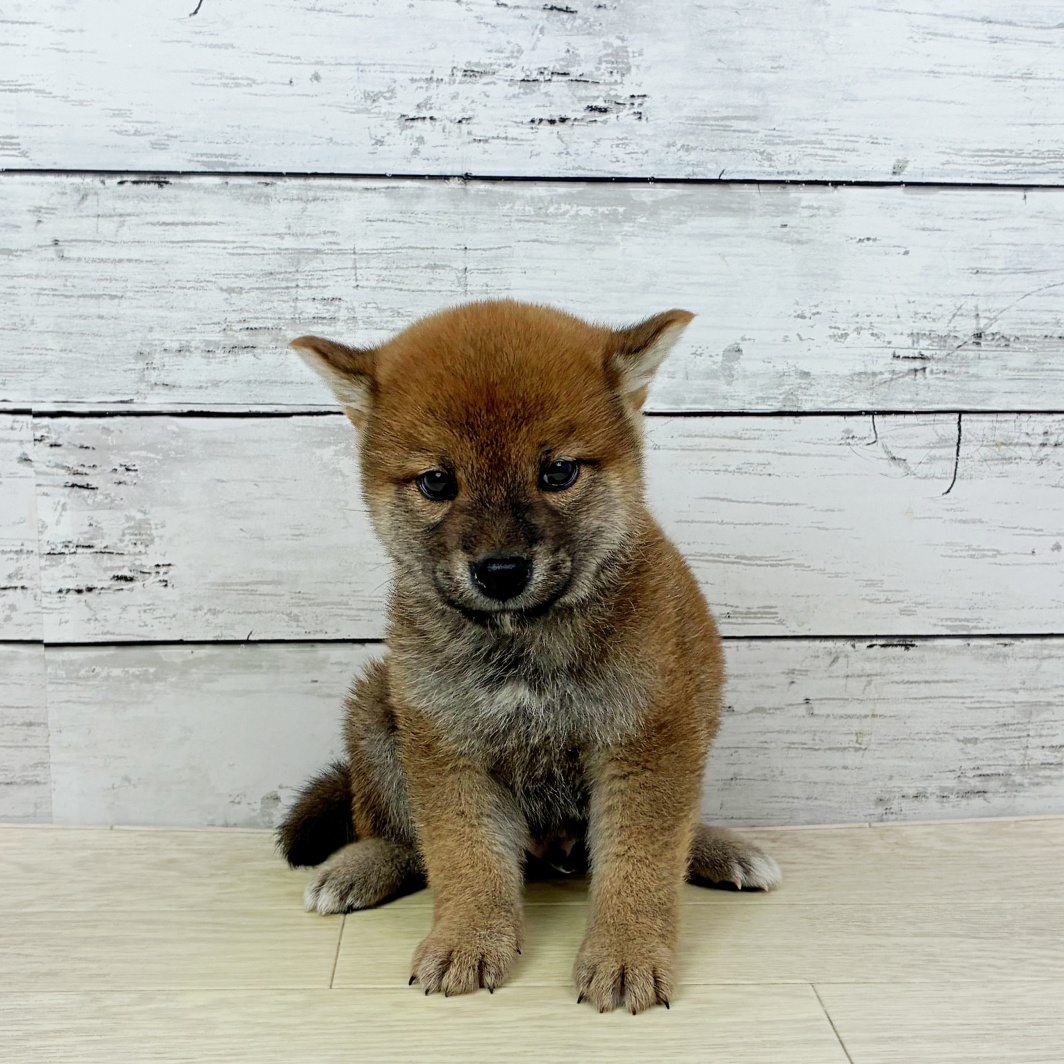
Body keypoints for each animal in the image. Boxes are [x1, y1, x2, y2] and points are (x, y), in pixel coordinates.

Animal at [278, 299, 780, 1013]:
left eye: (558, 473)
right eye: (437, 482)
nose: (501, 571)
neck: (523, 646)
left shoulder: (649, 739)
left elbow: (641, 861)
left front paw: (626, 952)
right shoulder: (447, 744)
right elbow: (463, 857)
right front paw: (468, 938)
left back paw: (718, 849)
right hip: (378, 707)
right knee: (402, 835)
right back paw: (362, 865)